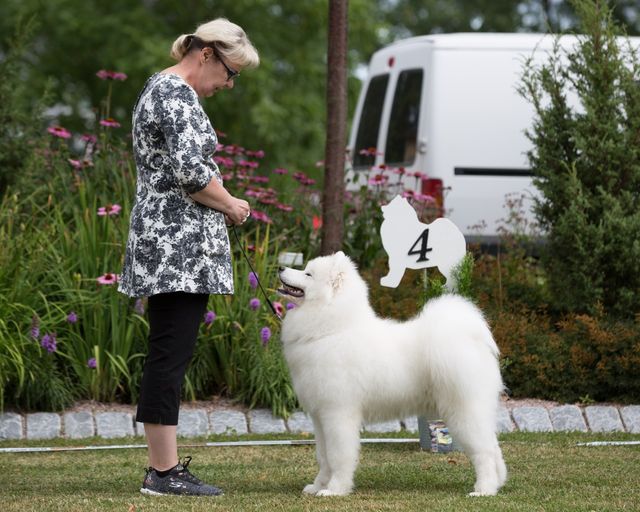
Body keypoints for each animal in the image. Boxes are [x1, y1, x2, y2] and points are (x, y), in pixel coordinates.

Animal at [278, 251, 508, 496]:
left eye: (308, 274)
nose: (280, 268)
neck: (331, 329)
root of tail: (471, 338)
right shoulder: (320, 417)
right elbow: (323, 457)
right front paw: (318, 486)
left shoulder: (337, 413)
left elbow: (338, 456)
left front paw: (335, 490)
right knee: (494, 446)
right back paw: (498, 483)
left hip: (463, 411)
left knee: (484, 451)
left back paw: (484, 489)